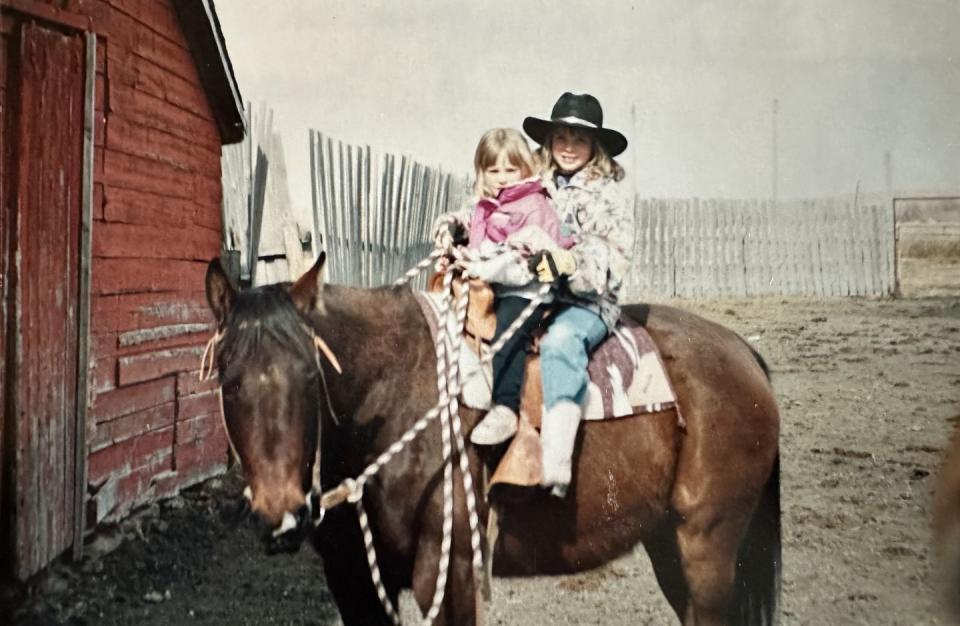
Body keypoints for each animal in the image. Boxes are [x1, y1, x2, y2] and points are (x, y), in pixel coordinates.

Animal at [202, 254, 780, 624]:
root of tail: (743, 352)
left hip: (707, 545)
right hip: (668, 543)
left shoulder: (447, 573)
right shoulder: (353, 580)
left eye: (309, 375)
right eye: (229, 379)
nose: (282, 517)